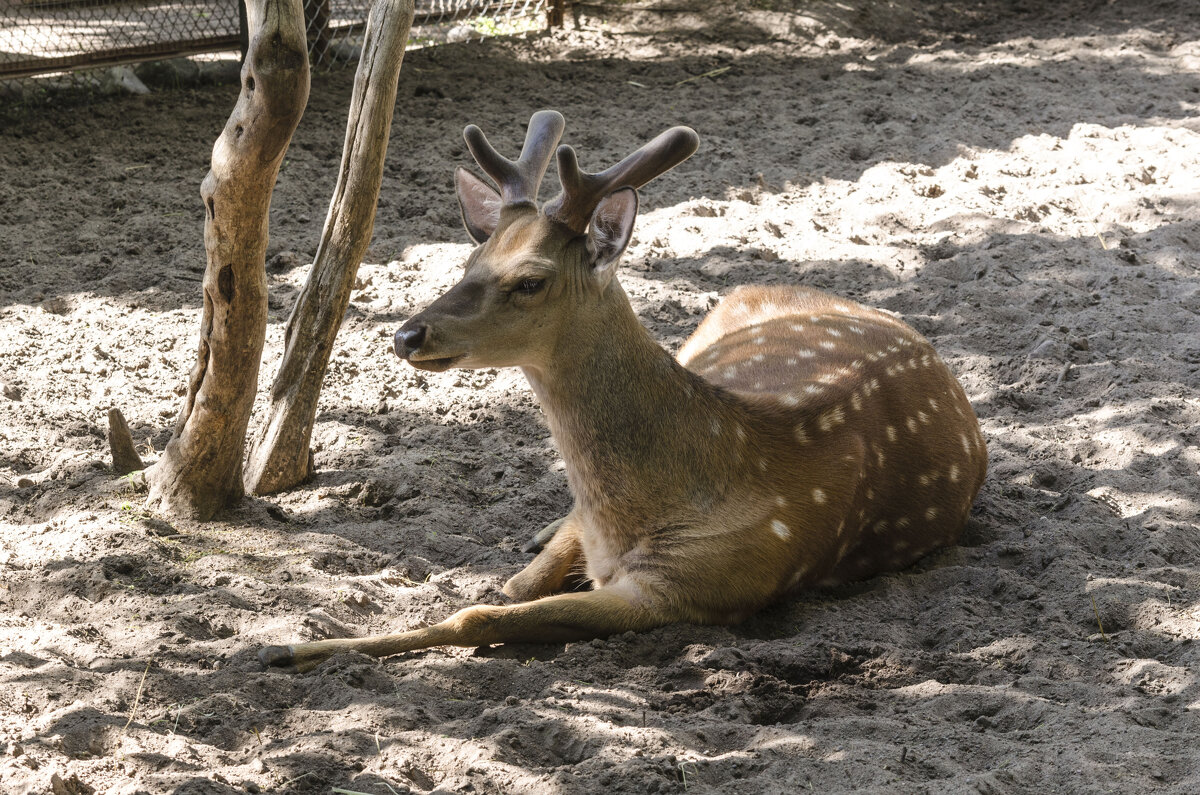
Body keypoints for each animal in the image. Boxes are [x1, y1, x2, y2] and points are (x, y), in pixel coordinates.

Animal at [258, 110, 988, 672]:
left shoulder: (696, 586)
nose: (407, 334)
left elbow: (479, 614)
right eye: (470, 260)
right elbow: (507, 588)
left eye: (531, 280)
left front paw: (290, 649)